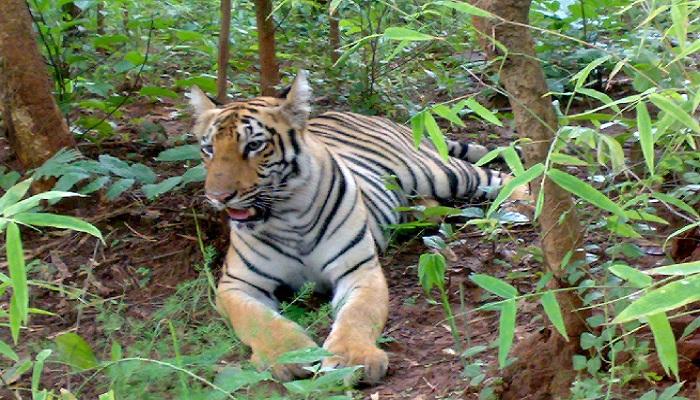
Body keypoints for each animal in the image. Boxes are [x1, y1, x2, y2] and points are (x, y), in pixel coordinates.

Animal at [189, 70, 528, 382]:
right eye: (208, 149)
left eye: (254, 146)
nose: (217, 197)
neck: (287, 215)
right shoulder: (235, 284)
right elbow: (260, 321)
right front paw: (289, 355)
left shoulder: (359, 270)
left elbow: (357, 314)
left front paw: (352, 359)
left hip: (438, 171)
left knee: (499, 175)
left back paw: (521, 203)